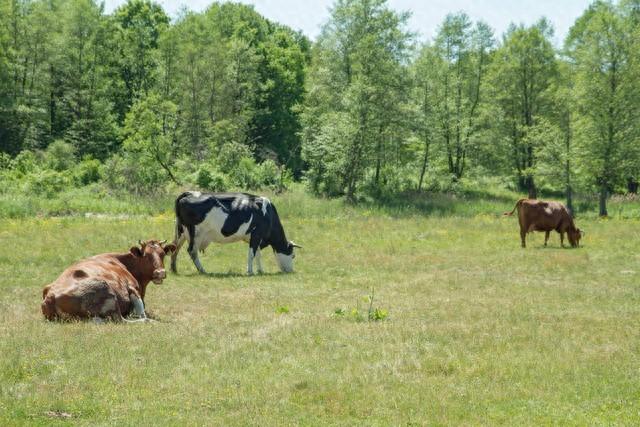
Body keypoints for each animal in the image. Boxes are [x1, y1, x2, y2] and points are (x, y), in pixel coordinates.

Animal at [41, 239, 176, 322]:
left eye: (163, 254)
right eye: (146, 255)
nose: (160, 272)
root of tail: (51, 296)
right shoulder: (133, 287)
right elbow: (141, 310)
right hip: (106, 290)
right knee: (122, 319)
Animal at [170, 191, 300, 274]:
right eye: (293, 255)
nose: (290, 271)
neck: (268, 214)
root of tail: (189, 193)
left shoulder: (256, 238)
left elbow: (257, 254)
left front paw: (260, 270)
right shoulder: (257, 234)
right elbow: (251, 254)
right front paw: (250, 271)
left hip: (181, 232)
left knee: (175, 247)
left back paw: (174, 269)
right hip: (195, 232)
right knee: (192, 251)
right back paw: (202, 270)